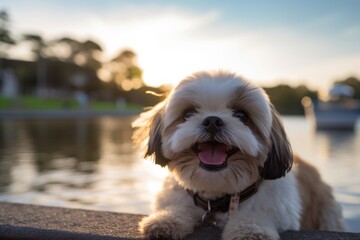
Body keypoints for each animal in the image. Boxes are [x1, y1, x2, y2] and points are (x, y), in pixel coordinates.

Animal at [132, 71, 346, 240]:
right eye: (188, 114)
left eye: (242, 115)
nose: (212, 121)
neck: (217, 200)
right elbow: (178, 208)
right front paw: (166, 219)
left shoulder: (280, 211)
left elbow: (256, 216)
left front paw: (250, 230)